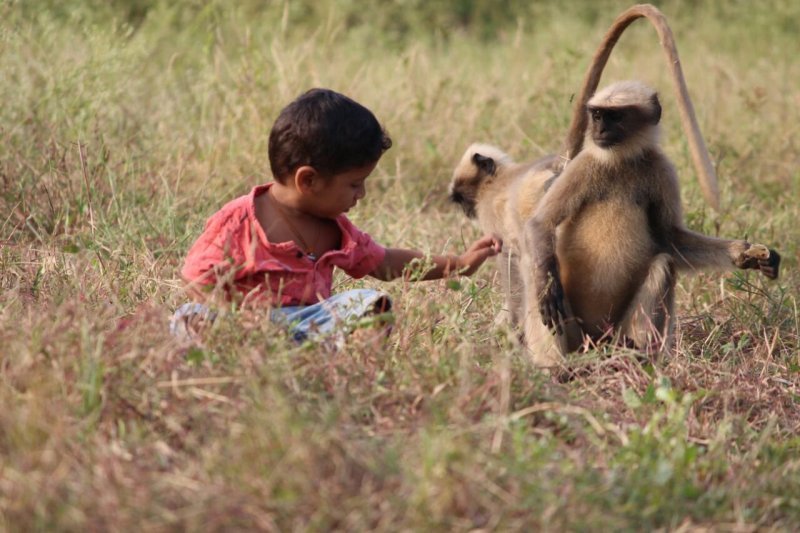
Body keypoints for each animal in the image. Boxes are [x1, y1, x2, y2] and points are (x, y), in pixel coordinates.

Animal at [524, 81, 780, 366]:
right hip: (575, 335)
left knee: (664, 265)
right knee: (538, 277)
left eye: (615, 117)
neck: (621, 161)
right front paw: (547, 289)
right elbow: (541, 223)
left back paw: (635, 356)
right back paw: (558, 368)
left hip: (615, 332)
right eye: (598, 115)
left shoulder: (662, 168)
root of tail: (596, 342)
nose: (599, 130)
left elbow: (669, 239)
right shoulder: (584, 165)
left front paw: (746, 255)